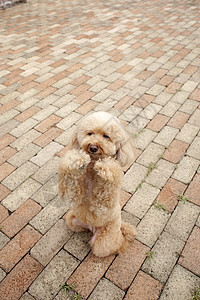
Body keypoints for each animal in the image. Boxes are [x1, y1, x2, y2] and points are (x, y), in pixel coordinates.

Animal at [57, 111, 136, 256]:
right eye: (90, 133)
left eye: (106, 136)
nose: (93, 147)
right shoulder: (76, 195)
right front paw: (78, 159)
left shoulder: (103, 203)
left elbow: (110, 171)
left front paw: (104, 166)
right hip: (72, 219)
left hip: (104, 241)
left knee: (118, 244)